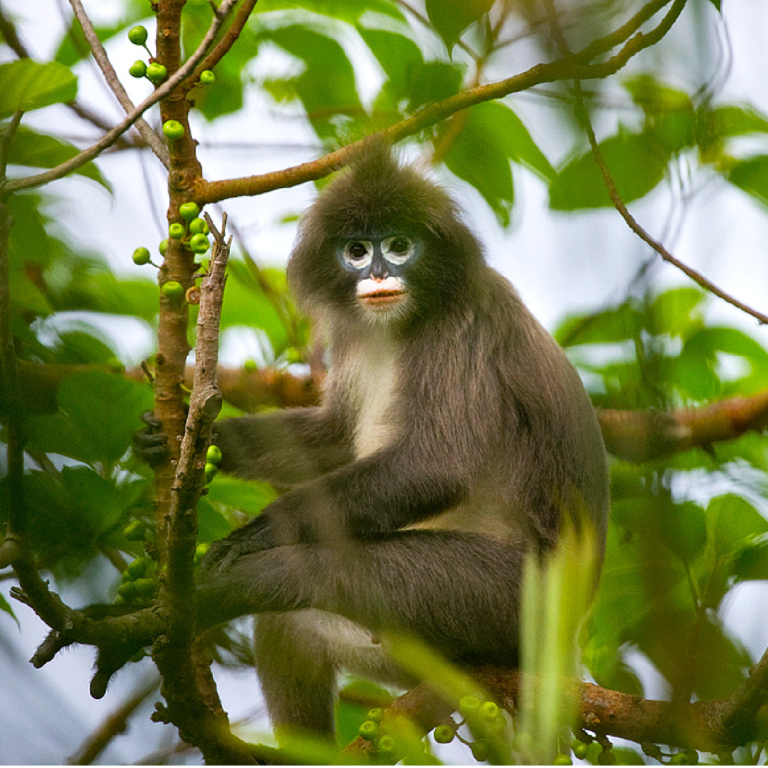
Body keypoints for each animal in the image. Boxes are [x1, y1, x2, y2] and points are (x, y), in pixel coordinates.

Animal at [164, 144, 612, 736]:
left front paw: (260, 531)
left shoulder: (462, 328)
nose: (378, 273)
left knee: (314, 572)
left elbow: (437, 464)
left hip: (511, 598)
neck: (395, 326)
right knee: (292, 624)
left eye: (399, 246)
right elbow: (334, 438)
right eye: (357, 251)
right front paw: (203, 438)